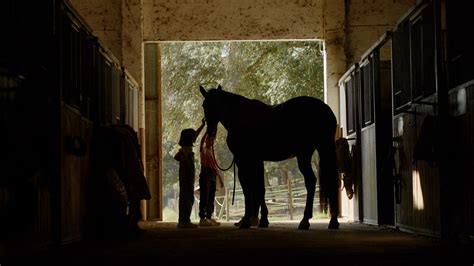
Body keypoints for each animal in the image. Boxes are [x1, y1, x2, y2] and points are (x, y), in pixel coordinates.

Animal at [200, 85, 340, 231]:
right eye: (205, 105)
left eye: (212, 105)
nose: (210, 132)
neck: (241, 117)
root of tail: (326, 109)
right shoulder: (256, 160)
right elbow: (259, 188)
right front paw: (262, 220)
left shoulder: (243, 159)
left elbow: (248, 188)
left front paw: (246, 221)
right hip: (315, 151)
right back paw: (330, 221)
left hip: (309, 153)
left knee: (313, 181)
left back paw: (308, 220)